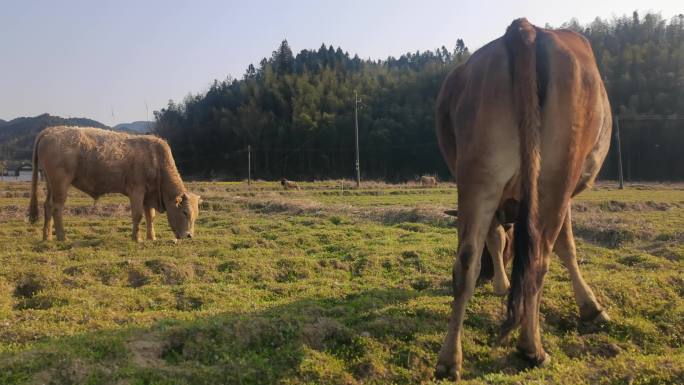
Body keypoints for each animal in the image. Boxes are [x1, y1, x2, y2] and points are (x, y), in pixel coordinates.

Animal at [29, 126, 200, 240]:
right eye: (185, 212)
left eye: (196, 214)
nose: (189, 236)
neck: (156, 160)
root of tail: (50, 131)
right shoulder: (136, 190)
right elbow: (137, 215)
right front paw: (136, 238)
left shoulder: (148, 194)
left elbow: (150, 216)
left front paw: (151, 238)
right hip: (61, 183)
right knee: (57, 208)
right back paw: (62, 237)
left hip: (51, 184)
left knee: (48, 206)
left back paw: (47, 237)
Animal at [436, 17, 612, 378]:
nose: (490, 276)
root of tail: (524, 28)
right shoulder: (565, 195)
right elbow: (567, 247)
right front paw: (591, 307)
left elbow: (495, 237)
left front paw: (501, 284)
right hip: (555, 178)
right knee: (538, 257)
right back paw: (532, 348)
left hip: (479, 174)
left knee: (465, 262)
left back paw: (448, 360)